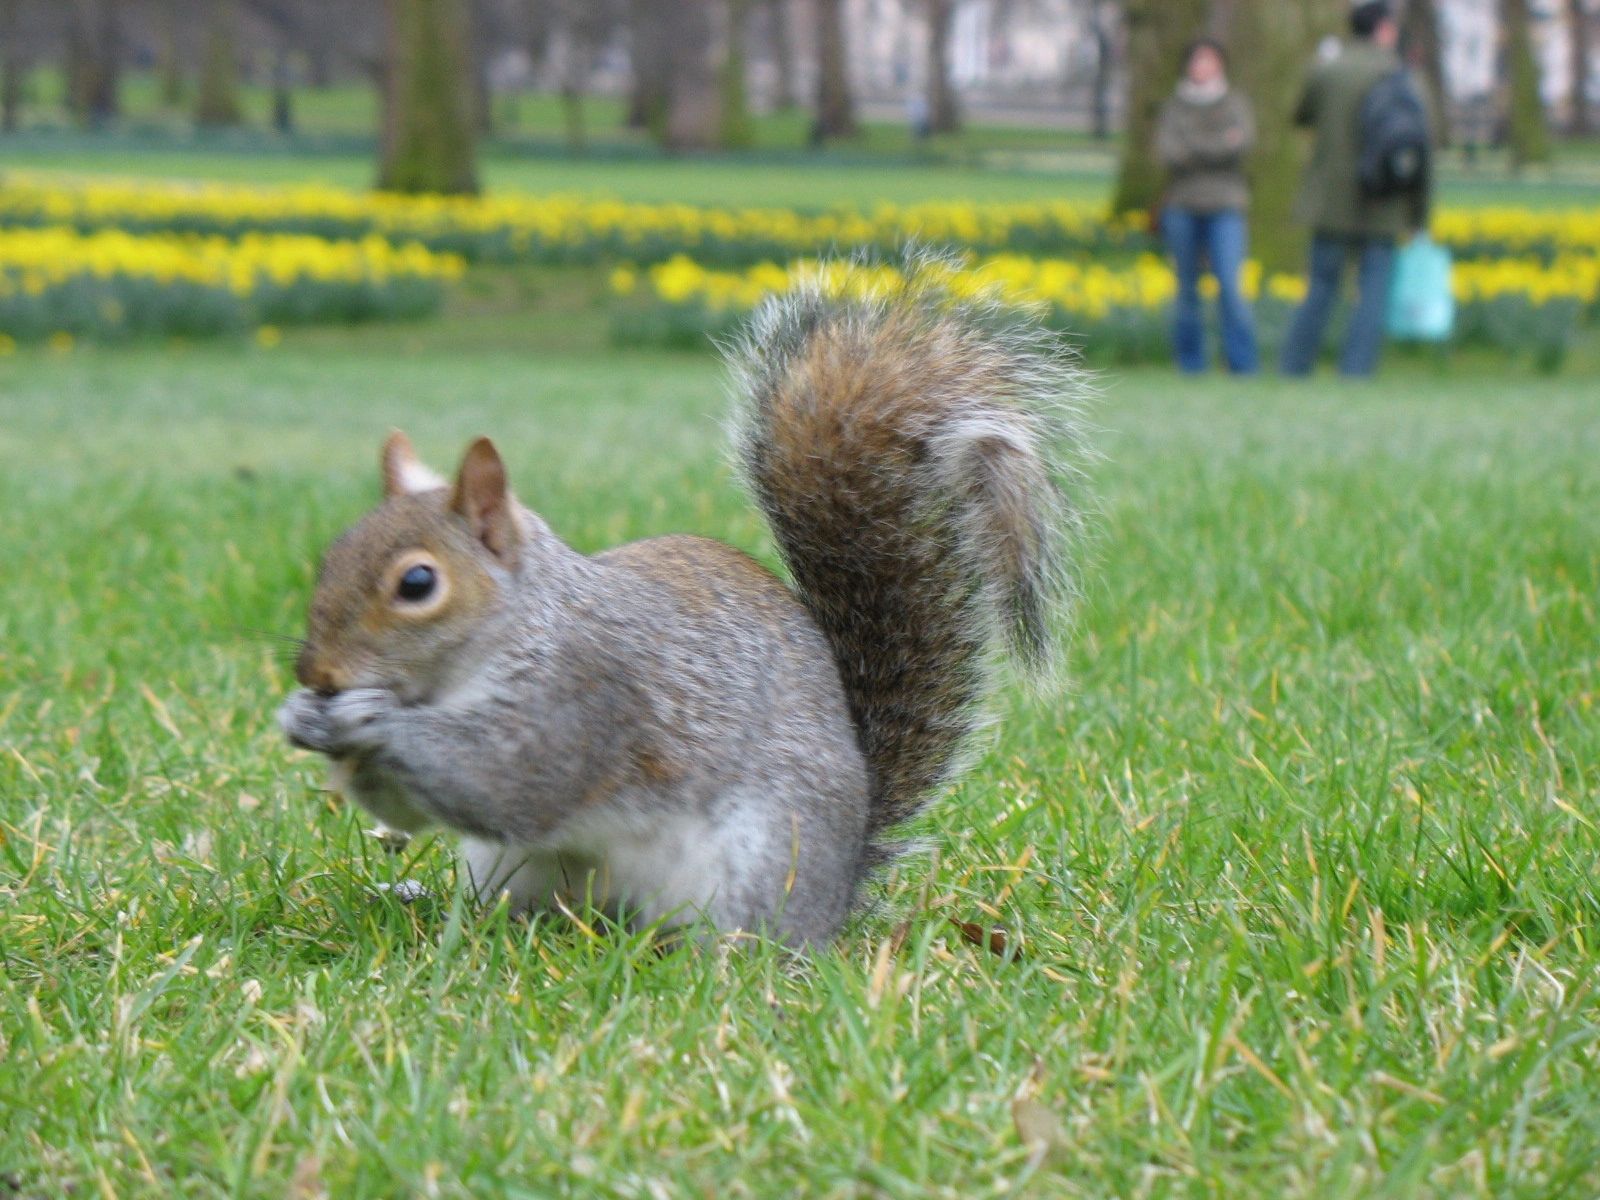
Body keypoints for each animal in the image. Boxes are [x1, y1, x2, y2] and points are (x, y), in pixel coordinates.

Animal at [278, 267, 1087, 946]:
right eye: (333, 553)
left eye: (418, 584)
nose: (317, 673)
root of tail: (838, 892)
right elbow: (405, 810)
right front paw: (304, 718)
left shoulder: (584, 697)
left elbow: (505, 780)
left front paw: (366, 720)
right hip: (510, 868)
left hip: (755, 862)